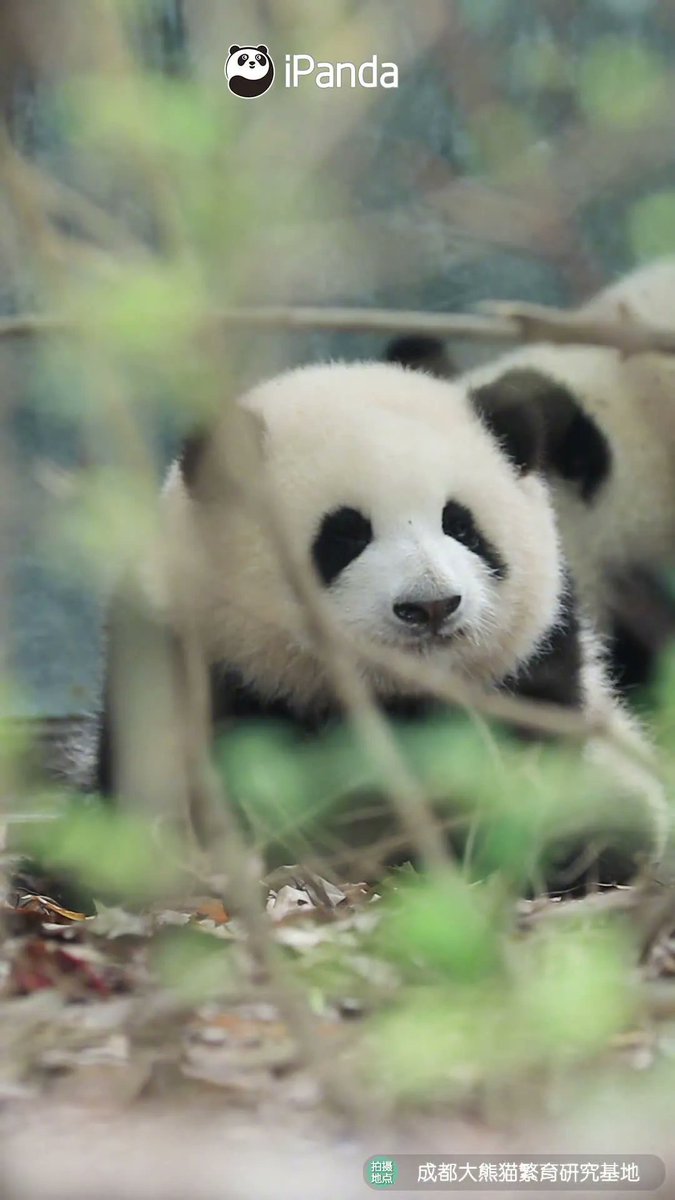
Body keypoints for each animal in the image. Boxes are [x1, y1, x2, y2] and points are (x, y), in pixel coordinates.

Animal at [94, 361, 665, 886]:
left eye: (461, 525)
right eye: (346, 535)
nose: (432, 606)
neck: (397, 696)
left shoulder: (536, 669)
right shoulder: (190, 660)